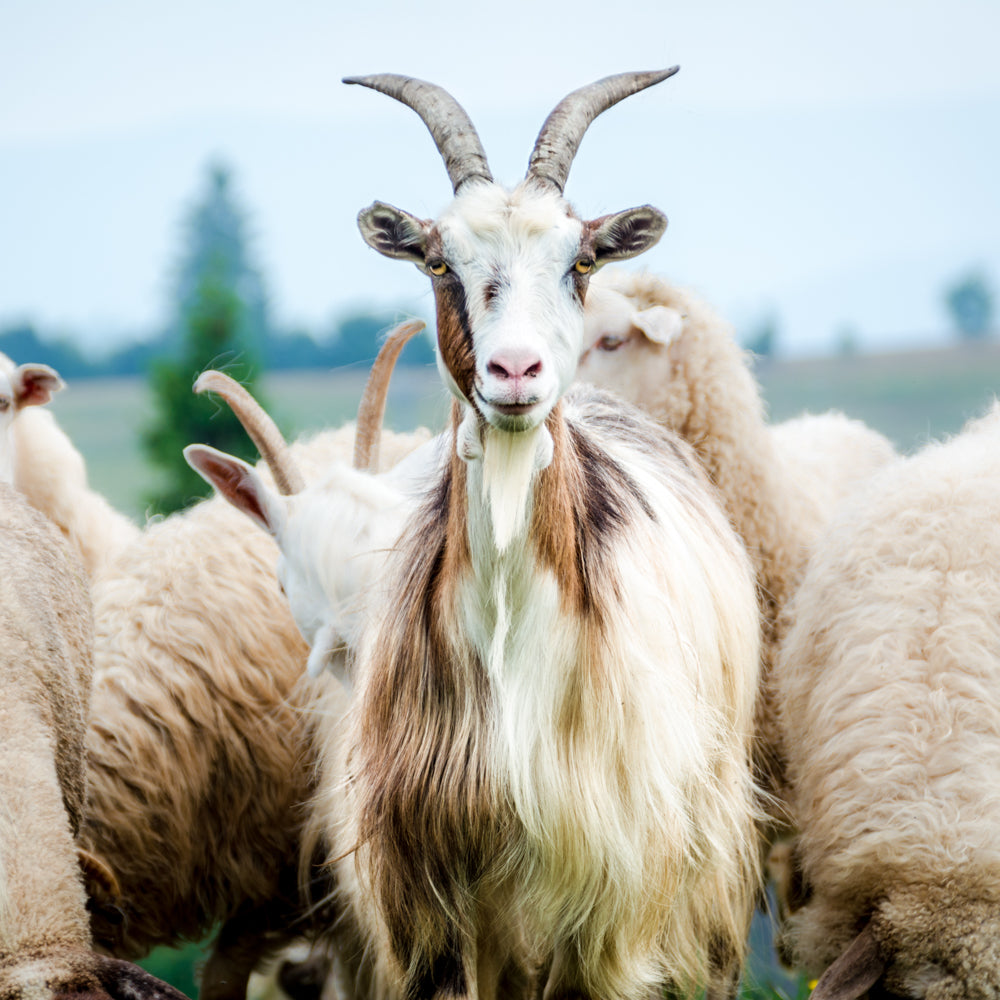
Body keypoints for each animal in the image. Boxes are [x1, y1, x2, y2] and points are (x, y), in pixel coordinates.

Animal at [308, 70, 760, 1000]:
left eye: (580, 261)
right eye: (439, 260)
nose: (515, 371)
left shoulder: (609, 893)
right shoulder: (428, 891)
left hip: (707, 854)